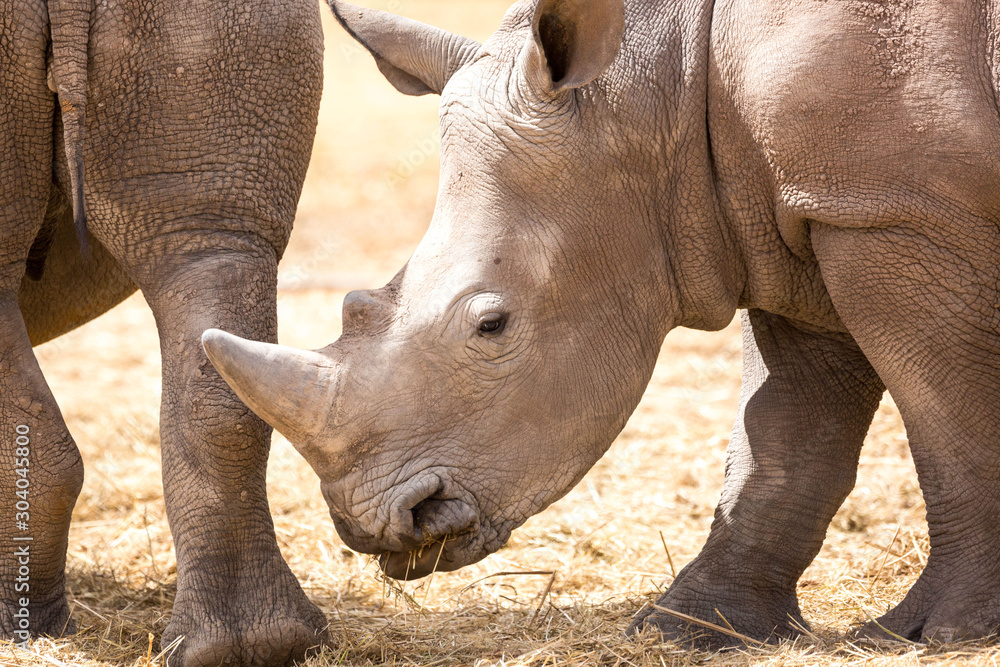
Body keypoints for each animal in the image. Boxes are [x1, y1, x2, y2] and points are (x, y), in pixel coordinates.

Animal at [204, 0, 1000, 647]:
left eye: (492, 325)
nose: (373, 526)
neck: (660, 91)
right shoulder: (802, 211)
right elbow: (785, 433)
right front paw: (687, 630)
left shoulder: (891, 211)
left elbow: (949, 417)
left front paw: (940, 632)